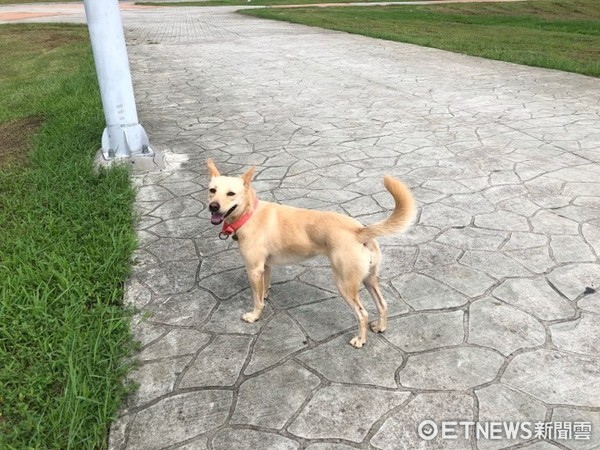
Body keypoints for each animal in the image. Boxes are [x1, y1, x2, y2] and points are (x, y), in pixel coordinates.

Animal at [205, 160, 412, 350]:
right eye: (212, 190)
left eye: (231, 194)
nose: (213, 206)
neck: (249, 213)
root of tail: (359, 230)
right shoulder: (266, 267)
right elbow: (264, 290)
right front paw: (265, 298)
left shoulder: (254, 270)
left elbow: (256, 299)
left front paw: (254, 316)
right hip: (369, 279)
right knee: (382, 304)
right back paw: (381, 326)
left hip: (344, 285)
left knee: (362, 314)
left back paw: (360, 339)